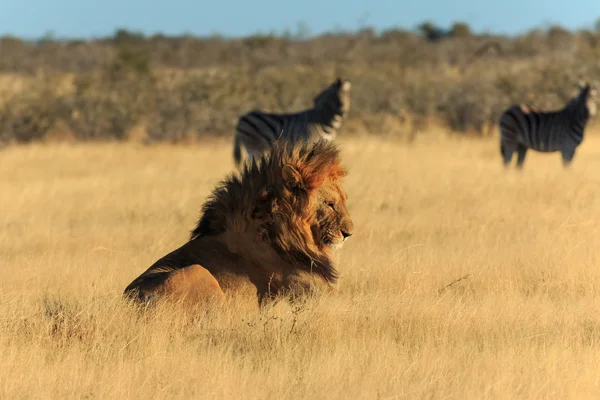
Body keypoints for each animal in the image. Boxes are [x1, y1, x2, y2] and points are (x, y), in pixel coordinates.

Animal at [123, 141, 354, 306]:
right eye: (330, 204)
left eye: (345, 200)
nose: (348, 233)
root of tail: (132, 300)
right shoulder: (313, 294)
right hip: (198, 274)